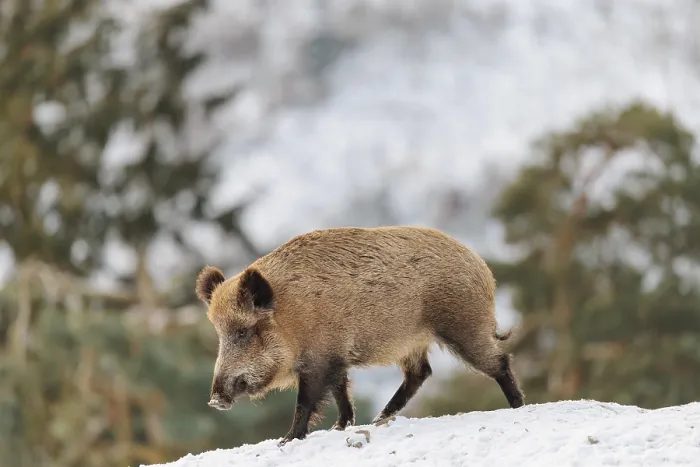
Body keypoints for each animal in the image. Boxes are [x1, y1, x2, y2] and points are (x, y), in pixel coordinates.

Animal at [195, 226, 524, 445]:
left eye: (243, 331)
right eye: (220, 333)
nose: (214, 400)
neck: (290, 316)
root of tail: (481, 265)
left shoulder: (319, 359)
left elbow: (307, 400)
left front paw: (286, 440)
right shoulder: (336, 359)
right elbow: (341, 393)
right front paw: (339, 428)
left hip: (463, 324)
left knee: (499, 362)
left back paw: (518, 405)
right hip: (413, 342)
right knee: (420, 373)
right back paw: (379, 419)